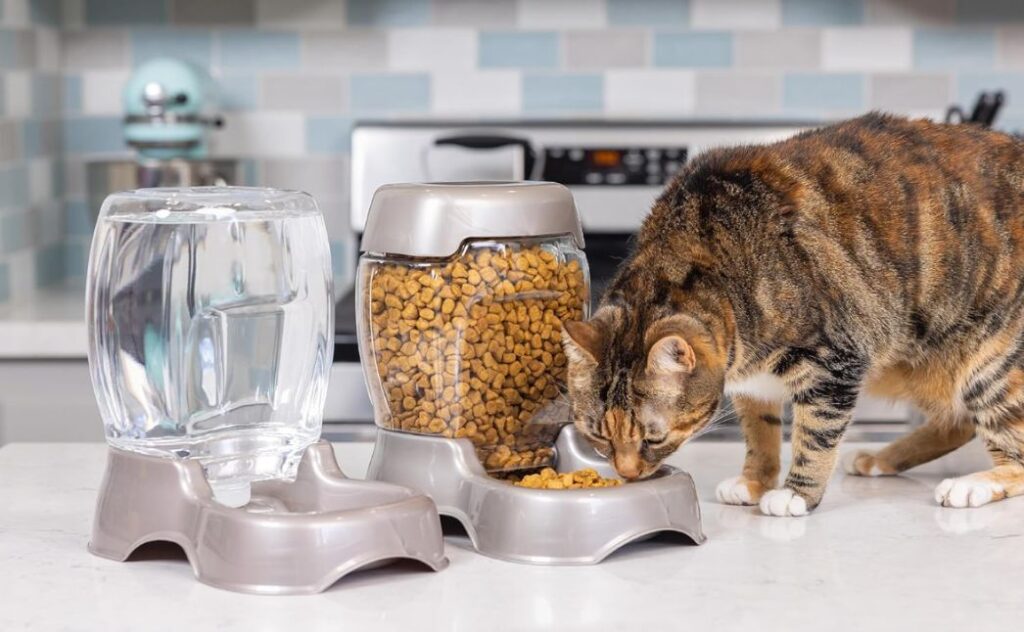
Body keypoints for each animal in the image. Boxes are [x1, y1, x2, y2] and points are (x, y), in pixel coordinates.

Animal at [565, 114, 1024, 518]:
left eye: (653, 437)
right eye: (596, 435)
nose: (627, 473)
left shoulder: (834, 364)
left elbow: (814, 436)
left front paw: (796, 494)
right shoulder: (750, 380)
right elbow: (760, 432)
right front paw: (754, 481)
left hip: (991, 364)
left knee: (1013, 451)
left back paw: (971, 485)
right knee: (957, 422)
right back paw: (880, 459)